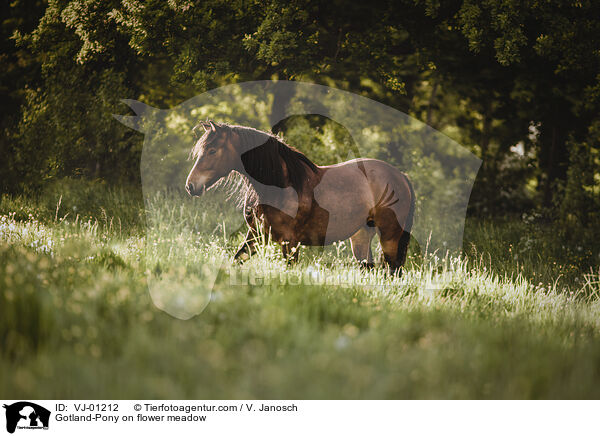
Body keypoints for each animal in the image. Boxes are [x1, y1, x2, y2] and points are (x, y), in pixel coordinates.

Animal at [185, 121, 414, 274]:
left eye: (212, 151)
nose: (191, 186)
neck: (281, 185)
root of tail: (401, 176)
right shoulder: (256, 236)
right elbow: (237, 259)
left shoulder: (290, 242)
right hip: (361, 237)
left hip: (390, 236)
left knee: (393, 271)